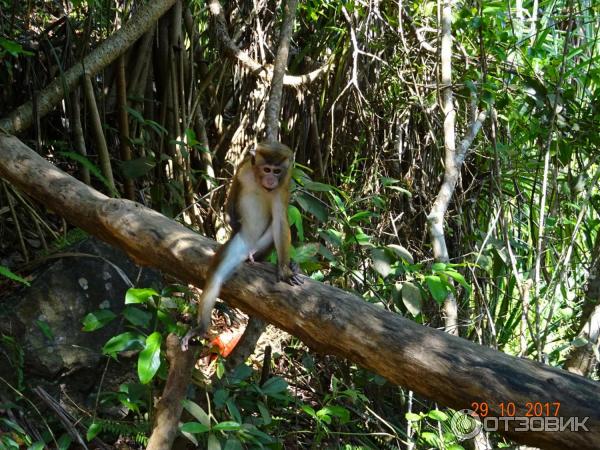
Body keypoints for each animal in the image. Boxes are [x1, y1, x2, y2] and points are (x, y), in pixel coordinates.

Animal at [182, 142, 304, 352]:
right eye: (267, 169)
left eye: (277, 171)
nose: (271, 179)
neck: (260, 182)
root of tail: (248, 250)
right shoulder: (245, 167)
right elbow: (234, 188)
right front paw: (231, 220)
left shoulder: (284, 183)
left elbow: (281, 220)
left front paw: (285, 269)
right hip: (239, 244)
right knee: (216, 276)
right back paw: (201, 328)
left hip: (259, 246)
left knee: (274, 227)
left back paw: (267, 259)